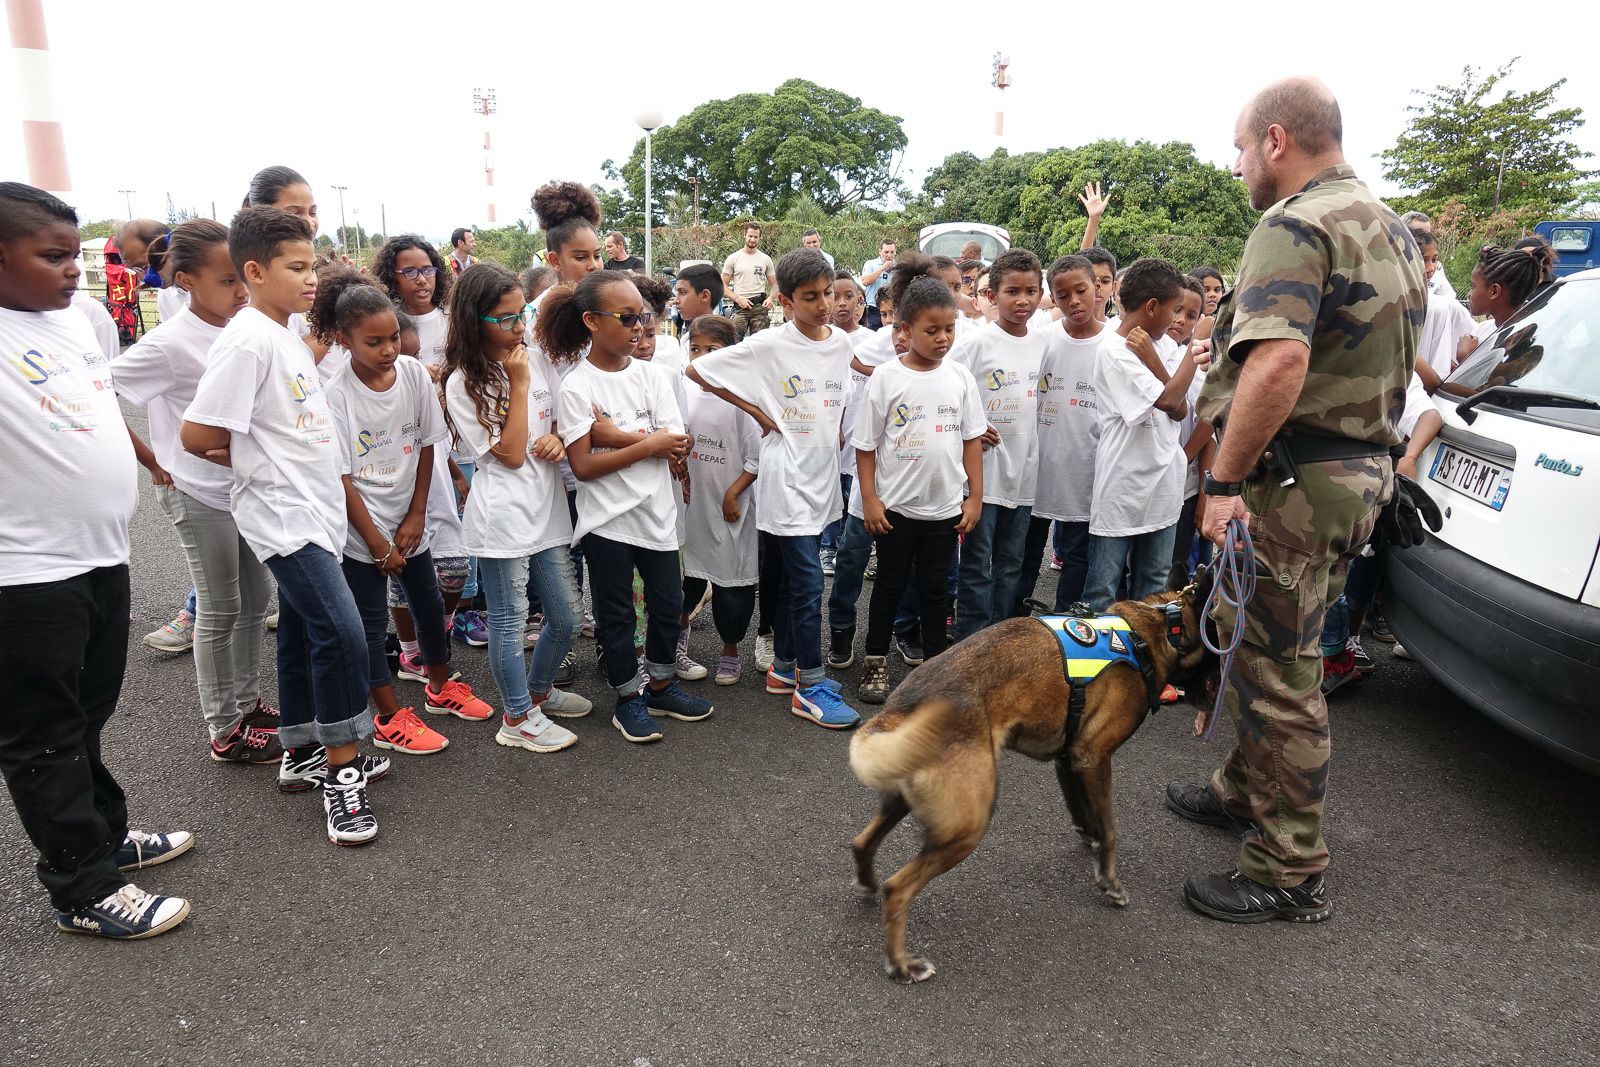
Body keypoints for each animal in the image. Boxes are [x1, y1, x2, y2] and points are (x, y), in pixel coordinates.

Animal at [851, 566, 1209, 985]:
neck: (1158, 626)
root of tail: (904, 707)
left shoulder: (1070, 759)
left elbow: (1084, 812)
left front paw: (1090, 839)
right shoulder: (1095, 757)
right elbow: (1110, 827)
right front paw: (1110, 880)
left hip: (905, 798)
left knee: (862, 843)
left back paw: (867, 884)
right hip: (968, 824)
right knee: (898, 888)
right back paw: (901, 963)